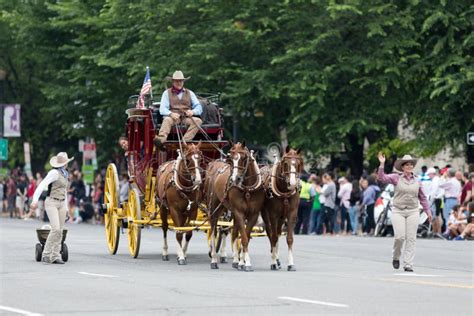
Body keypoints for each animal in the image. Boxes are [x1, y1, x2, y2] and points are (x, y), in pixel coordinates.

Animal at [203, 142, 264, 270]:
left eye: (244, 158)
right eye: (230, 158)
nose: (235, 179)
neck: (247, 190)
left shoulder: (253, 214)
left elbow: (244, 235)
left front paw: (241, 261)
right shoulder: (239, 212)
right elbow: (244, 237)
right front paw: (247, 263)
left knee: (233, 232)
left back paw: (235, 261)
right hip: (214, 208)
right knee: (214, 231)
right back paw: (214, 260)